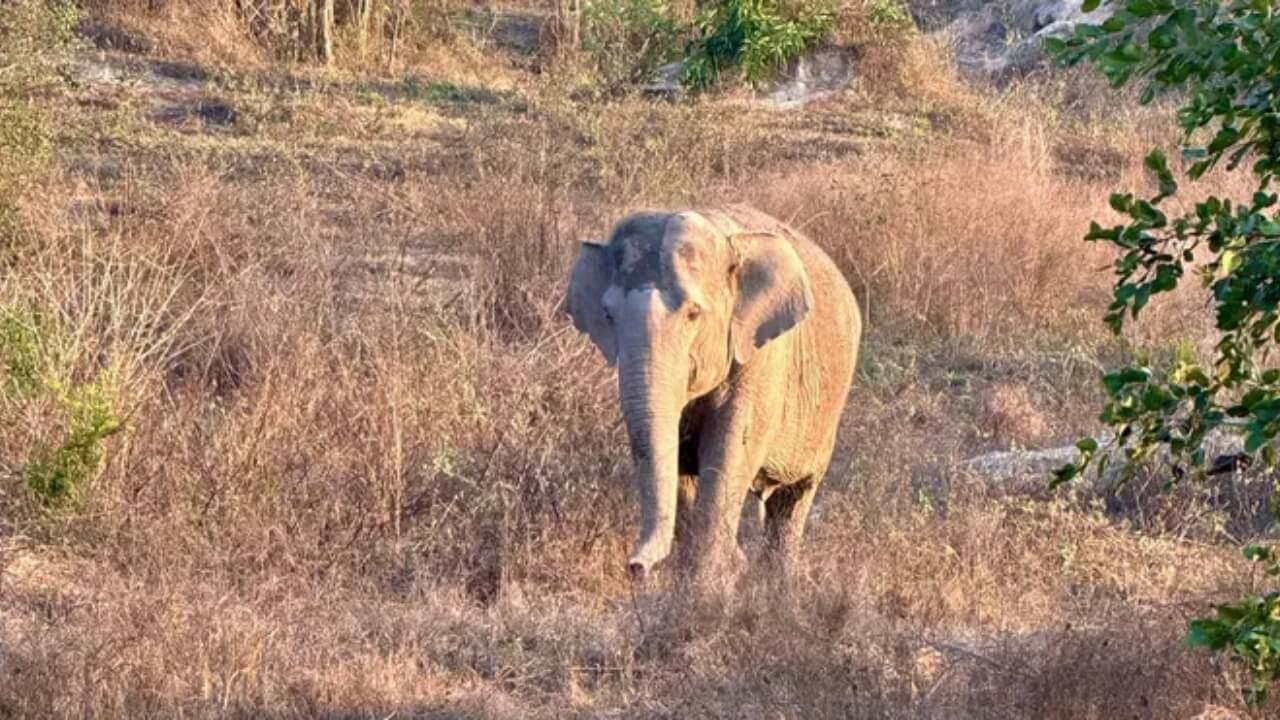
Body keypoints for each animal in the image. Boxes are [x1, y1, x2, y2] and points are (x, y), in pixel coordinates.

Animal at [565, 204, 862, 583]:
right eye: (608, 315)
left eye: (693, 314)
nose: (636, 567)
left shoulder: (759, 360)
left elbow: (728, 451)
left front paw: (709, 585)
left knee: (793, 499)